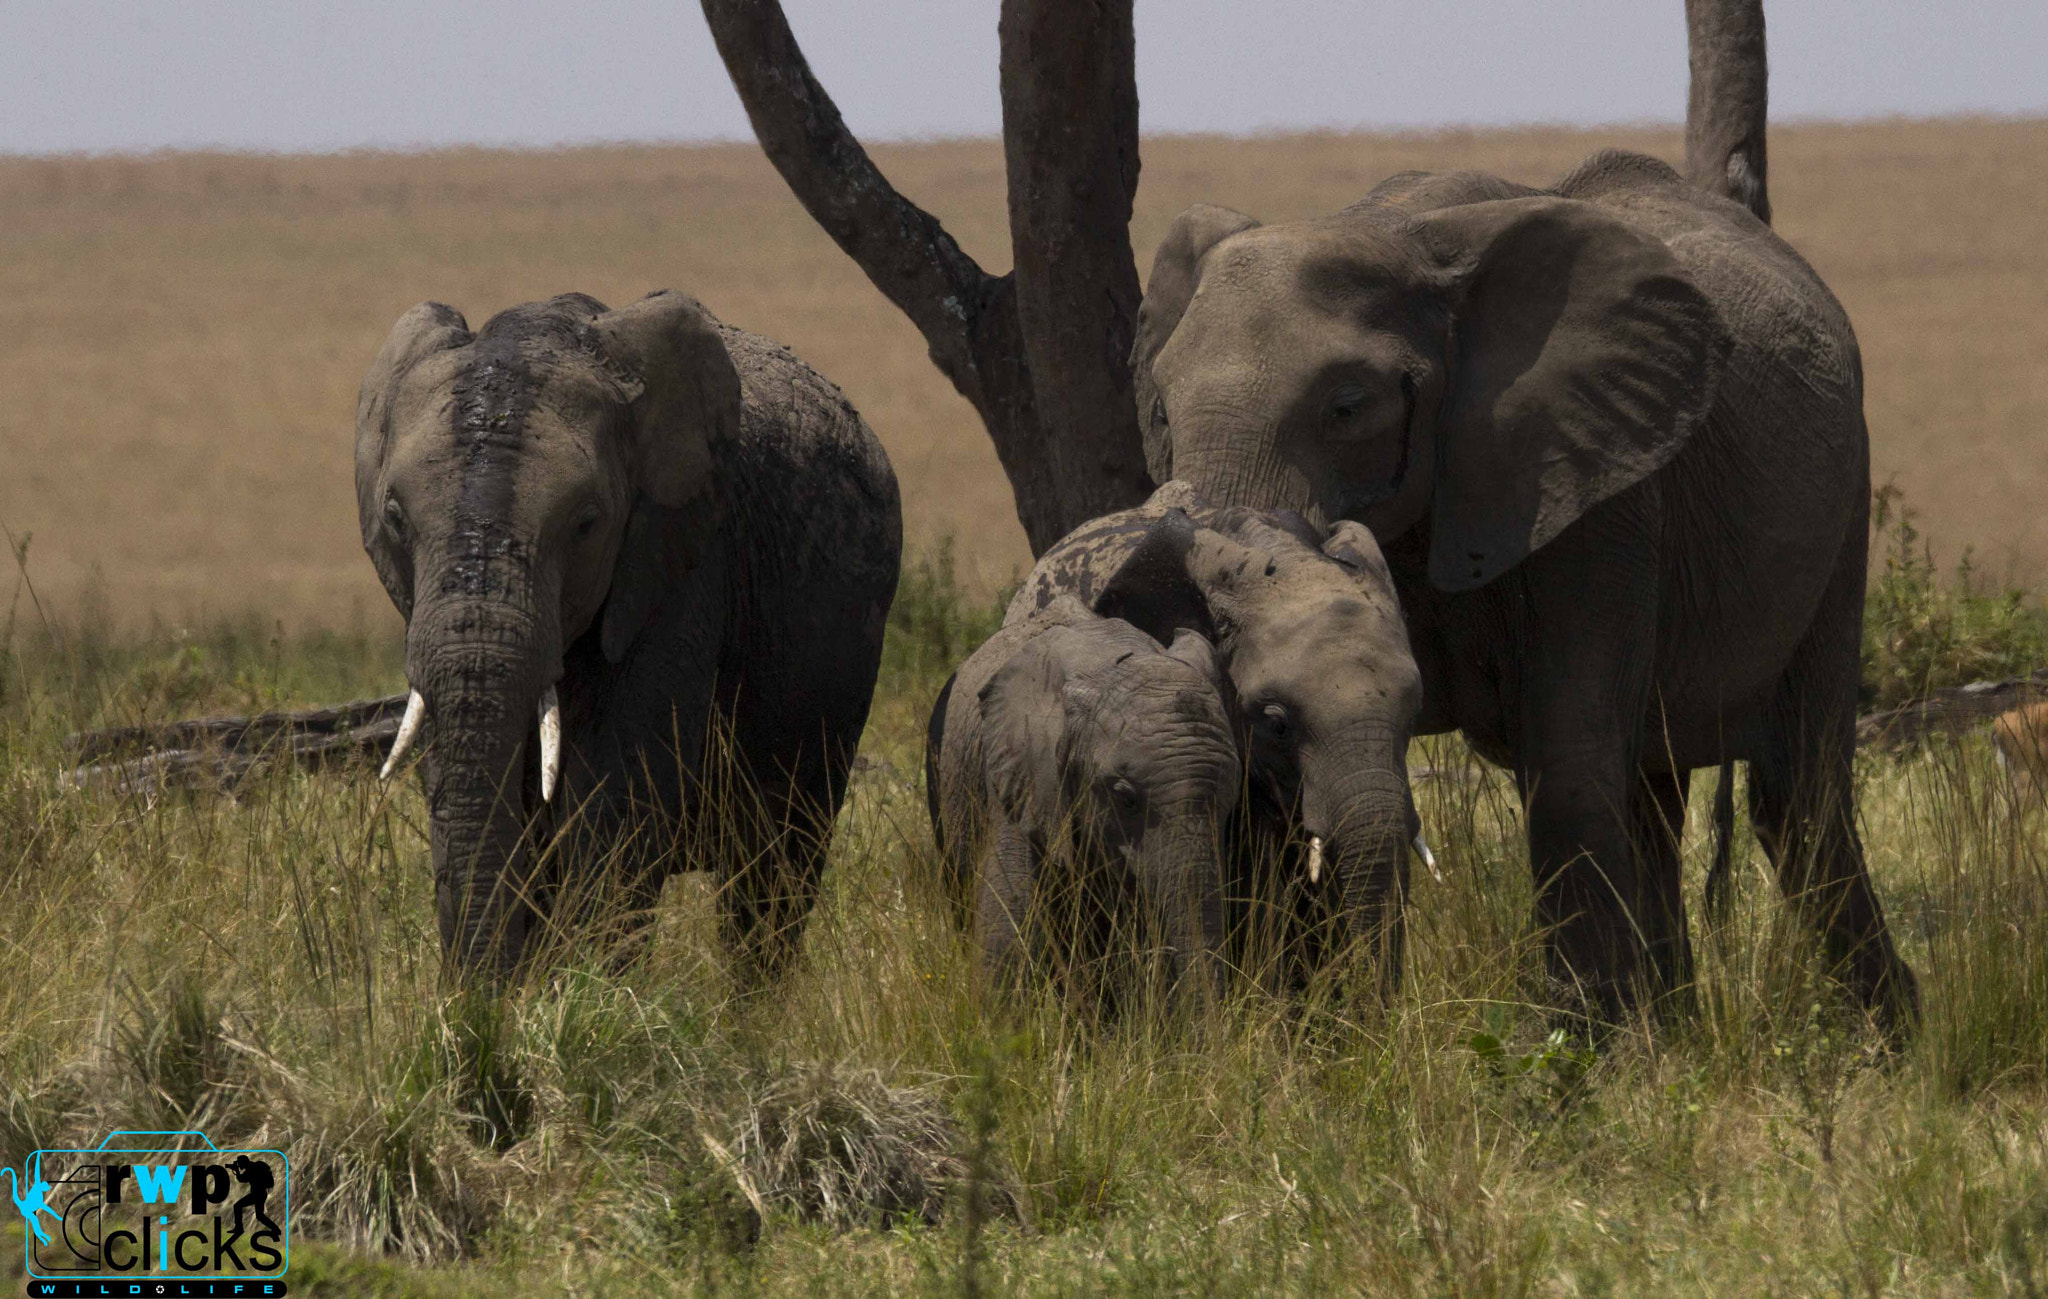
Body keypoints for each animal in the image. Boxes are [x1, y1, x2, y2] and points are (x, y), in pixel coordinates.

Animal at [356, 290, 901, 979]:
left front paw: (587, 993)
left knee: (772, 874)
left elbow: (621, 791)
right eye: (395, 518)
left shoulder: (682, 560)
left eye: (588, 523)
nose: (475, 1004)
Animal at [1131, 150, 1918, 1034]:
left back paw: (1888, 1041)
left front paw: (1583, 1056)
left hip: (1841, 509)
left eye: (1347, 406)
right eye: (1160, 410)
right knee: (1653, 798)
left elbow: (1565, 769)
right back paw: (1679, 1031)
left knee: (1795, 799)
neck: (1393, 233)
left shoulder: (1592, 490)